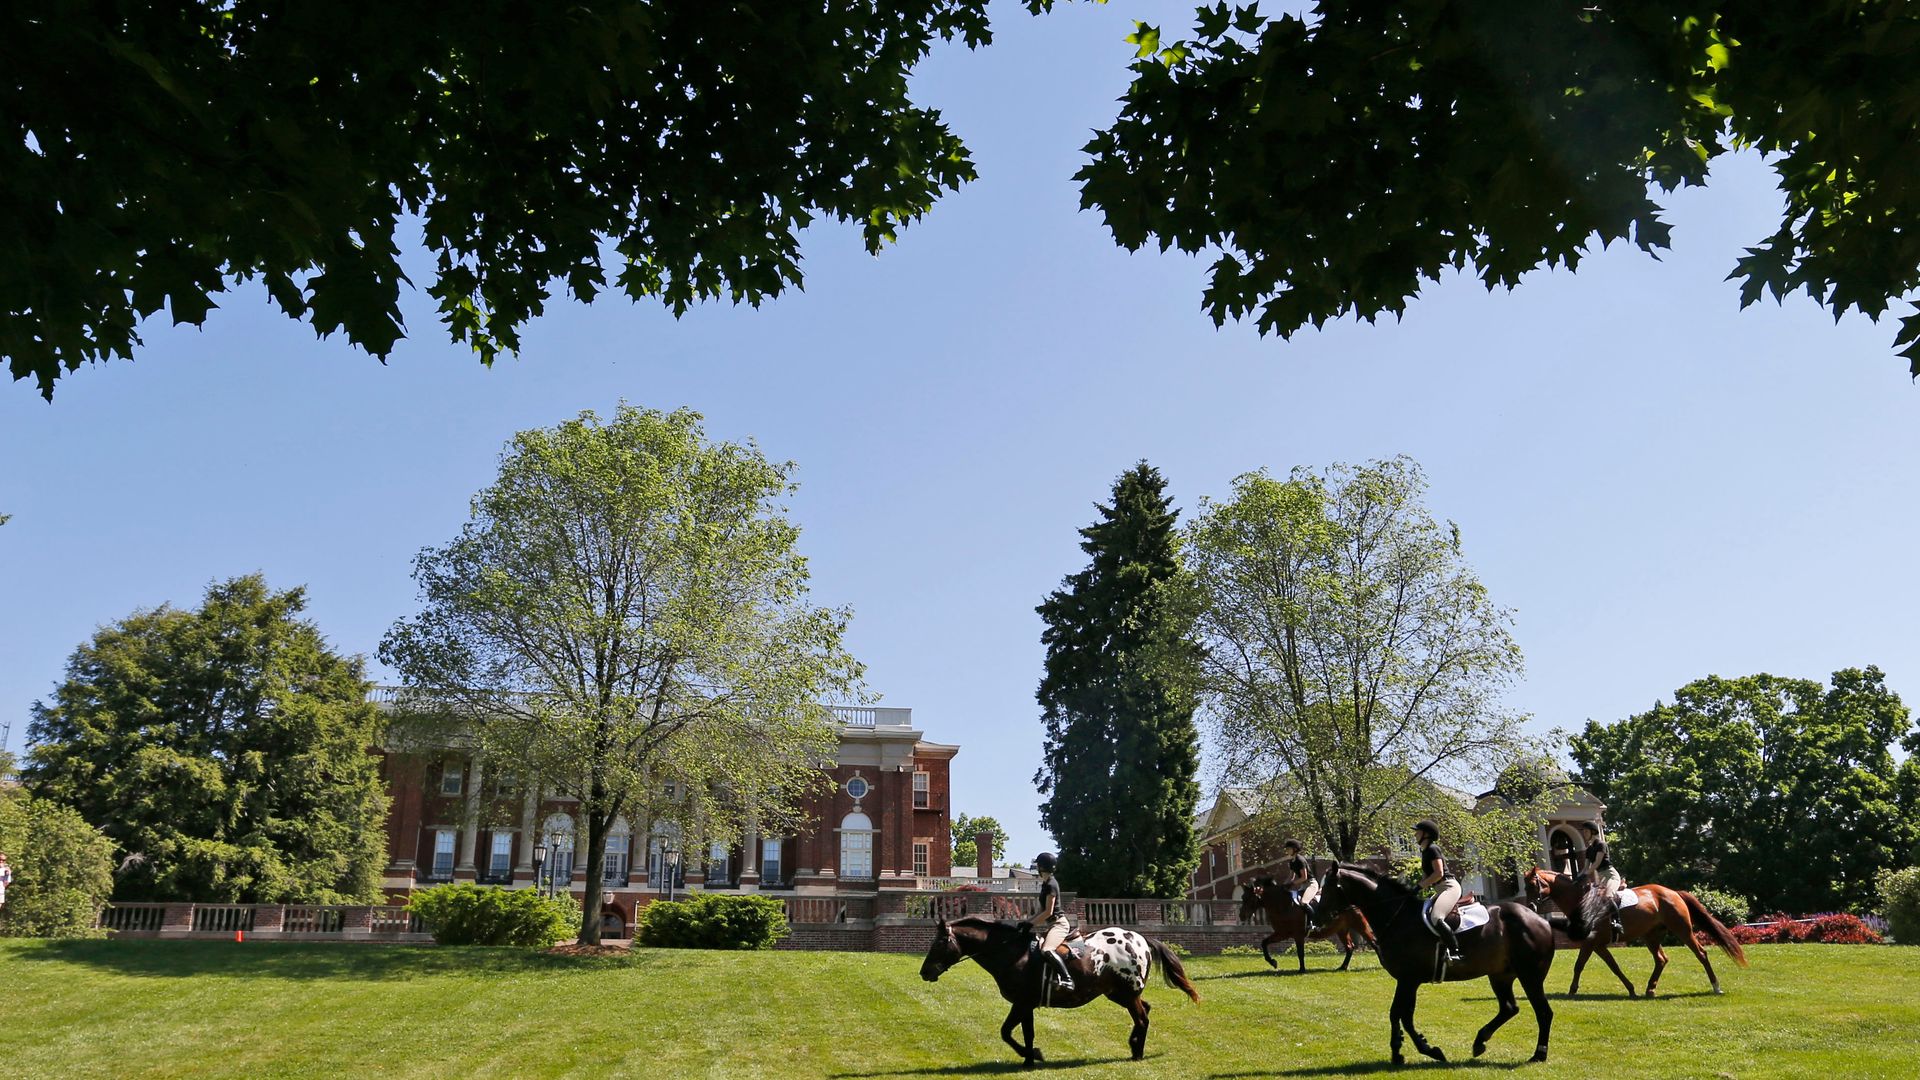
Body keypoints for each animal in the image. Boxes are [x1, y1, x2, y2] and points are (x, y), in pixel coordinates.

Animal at [917, 910, 1198, 1060]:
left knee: (1142, 1018)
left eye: (939, 943)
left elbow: (1006, 1032)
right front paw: (1029, 1059)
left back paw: (1137, 1052)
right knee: (1145, 1011)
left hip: (1127, 994)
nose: (924, 972)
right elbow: (1025, 1033)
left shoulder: (1022, 1003)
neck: (1012, 952)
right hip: (1118, 993)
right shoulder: (1026, 1005)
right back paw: (1134, 1046)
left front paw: (1033, 1055)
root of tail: (1140, 939)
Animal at [1244, 868, 1382, 972]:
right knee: (1350, 947)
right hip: (1341, 929)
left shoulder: (1298, 934)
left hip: (1360, 924)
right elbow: (1264, 942)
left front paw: (1301, 970)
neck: (1282, 904)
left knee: (1374, 942)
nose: (1242, 915)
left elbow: (1300, 952)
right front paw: (1273, 962)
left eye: (1249, 898)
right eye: (1244, 897)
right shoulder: (1282, 933)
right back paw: (1342, 967)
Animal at [1305, 860, 1559, 1060]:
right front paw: (1400, 1051)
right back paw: (1480, 1042)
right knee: (1509, 1008)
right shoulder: (1407, 980)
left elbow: (1402, 1015)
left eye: (1328, 888)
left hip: (1530, 976)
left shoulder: (1409, 979)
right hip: (1500, 975)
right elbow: (1399, 1014)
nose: (1315, 917)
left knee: (1543, 1012)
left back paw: (1539, 1053)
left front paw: (1426, 1050)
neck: (1397, 917)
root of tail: (1539, 919)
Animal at [1520, 860, 1751, 999]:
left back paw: (1716, 987)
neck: (1581, 900)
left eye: (1533, 885)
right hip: (1651, 935)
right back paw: (1650, 989)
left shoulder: (1590, 942)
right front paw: (1631, 989)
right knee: (1661, 959)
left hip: (1682, 930)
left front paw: (1571, 991)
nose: (1529, 906)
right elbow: (1613, 967)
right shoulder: (1598, 944)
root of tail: (1673, 892)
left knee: (1701, 954)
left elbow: (1579, 965)